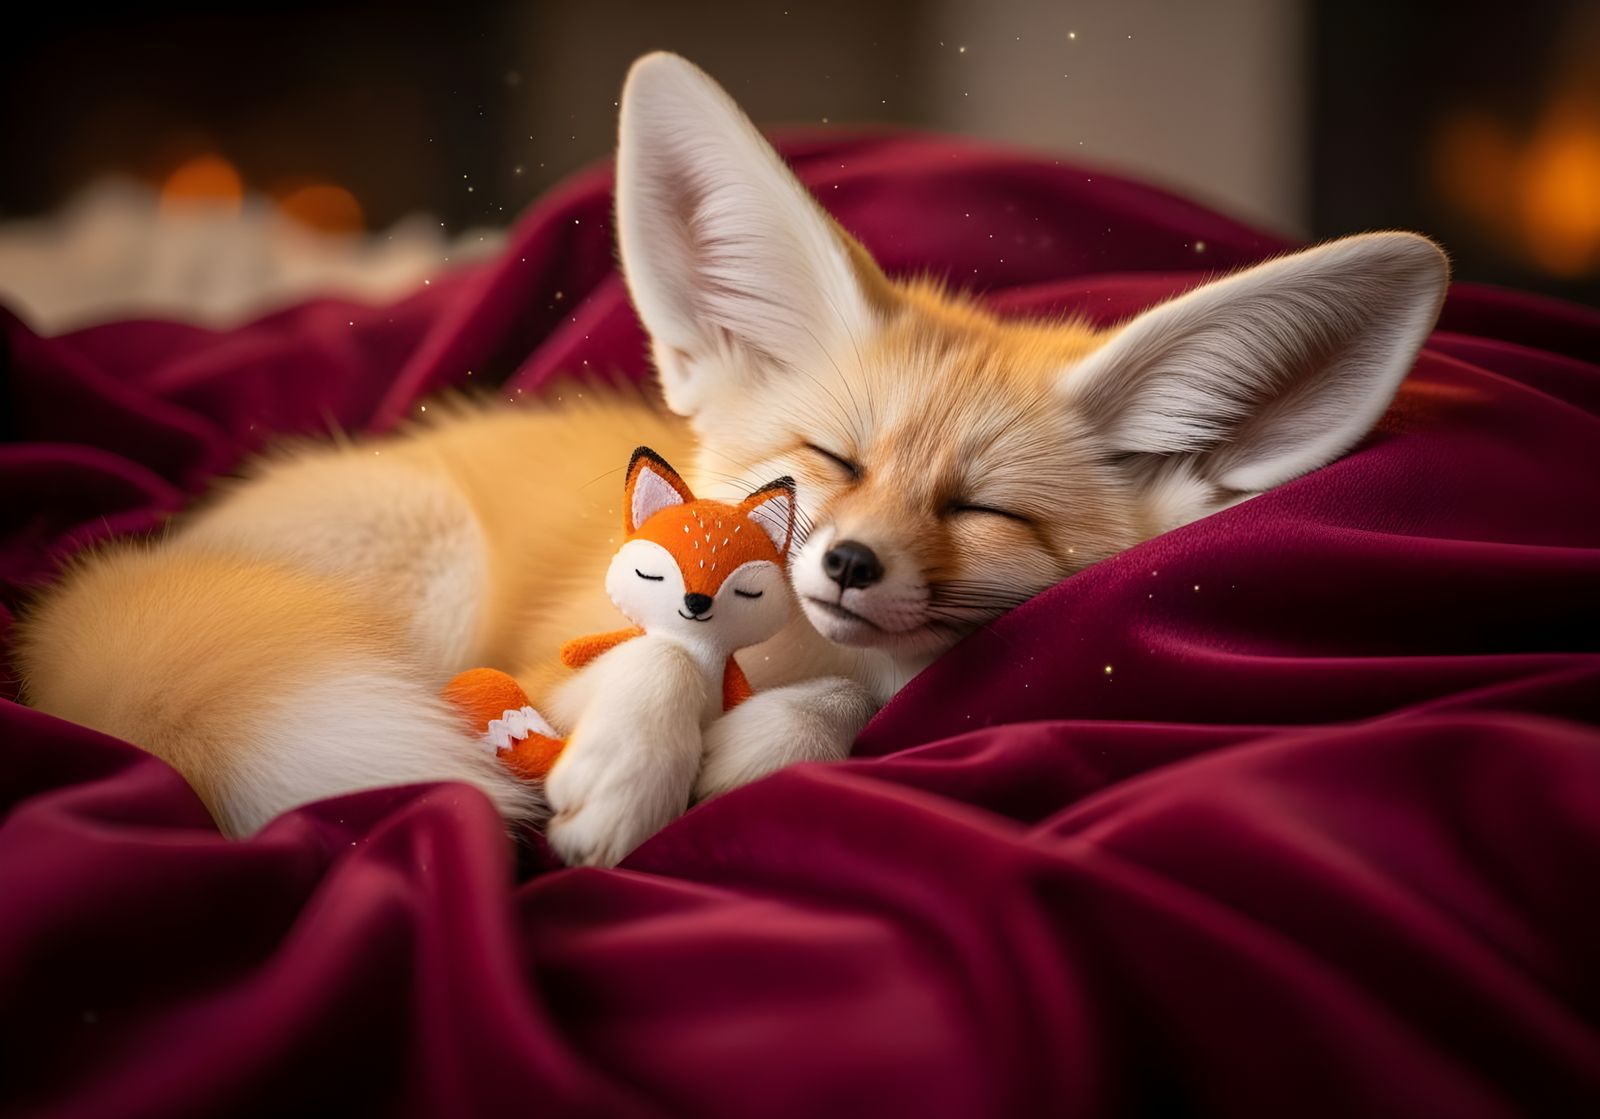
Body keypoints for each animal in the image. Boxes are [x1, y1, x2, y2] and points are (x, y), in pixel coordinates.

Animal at [15, 52, 1449, 866]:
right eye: (828, 457)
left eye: (979, 509)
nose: (851, 561)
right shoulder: (554, 650)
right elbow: (649, 658)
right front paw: (633, 765)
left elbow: (844, 709)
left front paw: (753, 748)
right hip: (423, 571)